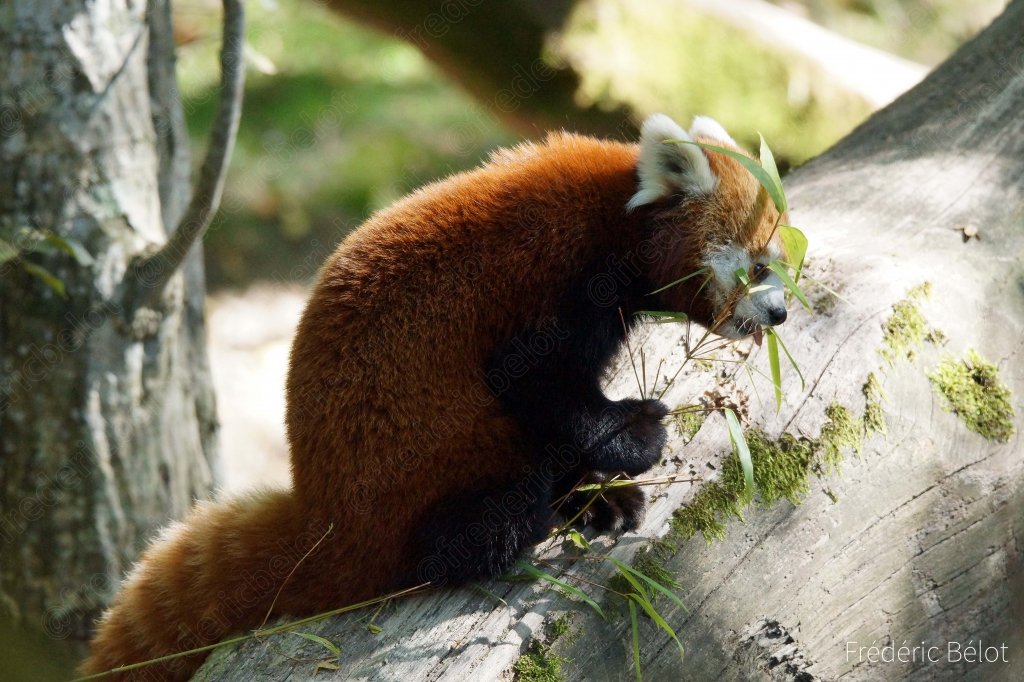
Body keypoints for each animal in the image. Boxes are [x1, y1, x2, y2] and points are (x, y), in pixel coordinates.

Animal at [82, 113, 789, 681]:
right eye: (759, 265)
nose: (782, 313)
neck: (619, 217)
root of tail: (324, 518)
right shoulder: (555, 286)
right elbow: (538, 385)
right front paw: (636, 435)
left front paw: (604, 480)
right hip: (443, 457)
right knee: (490, 501)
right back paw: (518, 525)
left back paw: (590, 502)